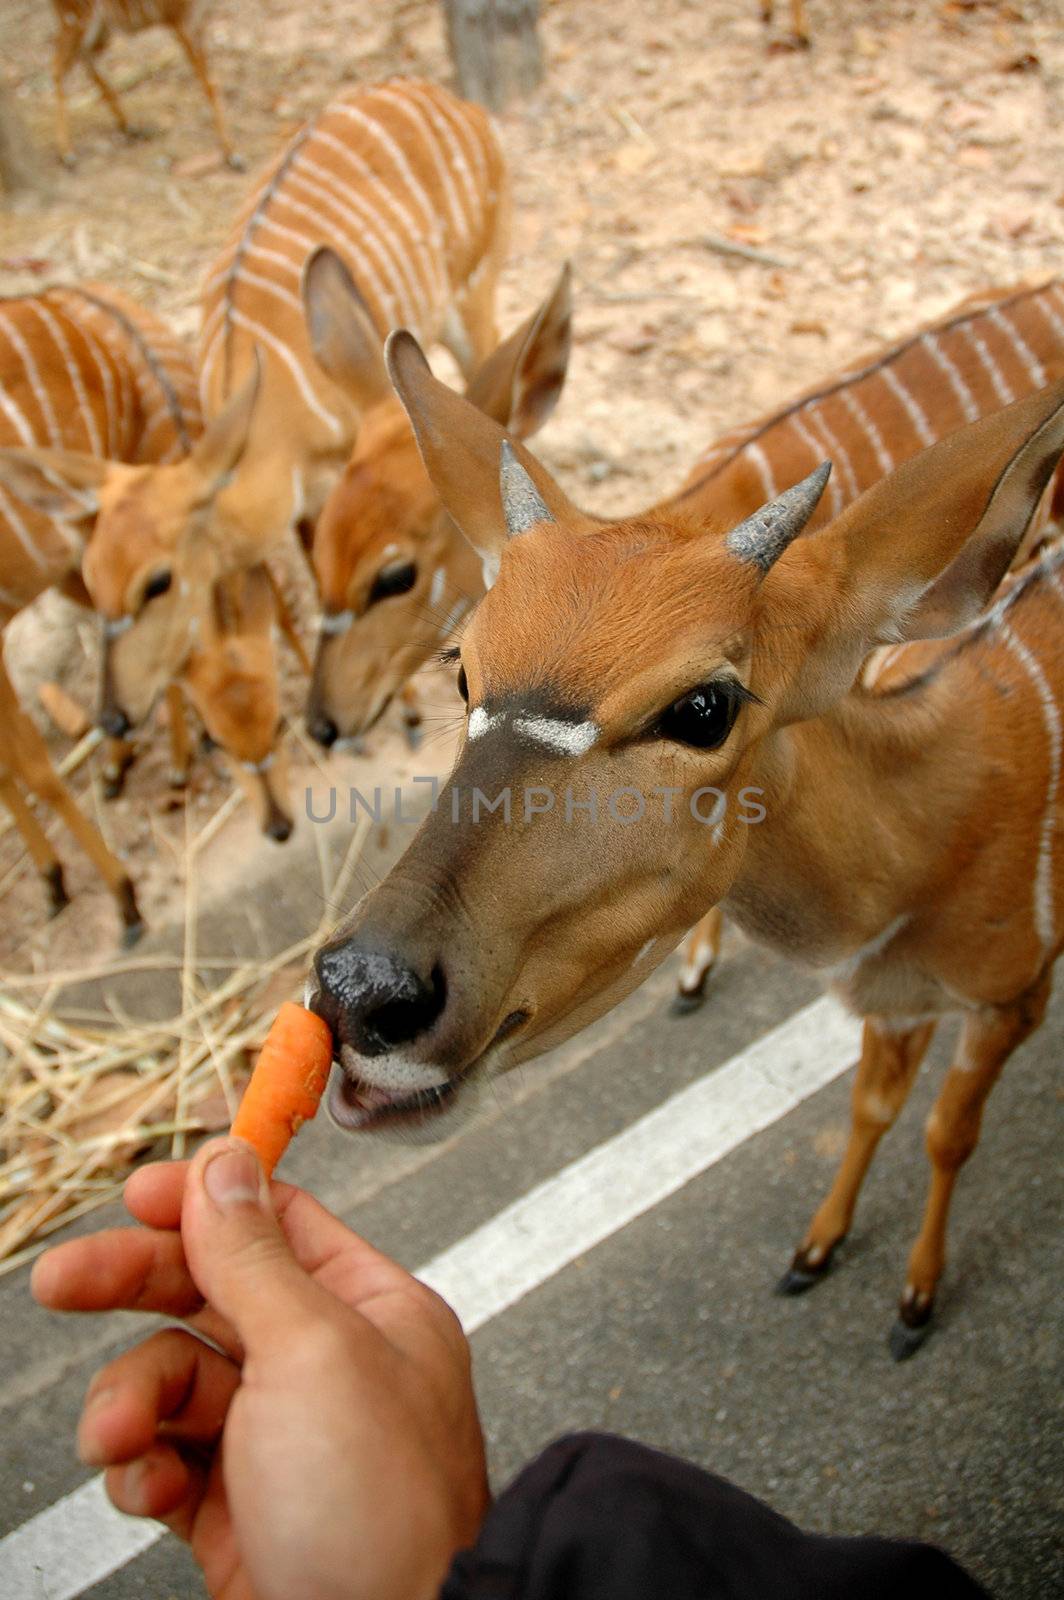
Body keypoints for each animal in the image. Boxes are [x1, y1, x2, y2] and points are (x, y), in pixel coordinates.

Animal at [50, 0, 235, 168]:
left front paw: (231, 152)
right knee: (58, 65)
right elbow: (209, 84)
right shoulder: (182, 18)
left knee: (86, 58)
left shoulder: (198, 19)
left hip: (100, 26)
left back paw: (131, 126)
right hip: (76, 18)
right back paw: (67, 153)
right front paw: (232, 154)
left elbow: (210, 82)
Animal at [307, 340, 1062, 1363]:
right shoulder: (897, 1006)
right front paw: (816, 1250)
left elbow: (948, 1130)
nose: (361, 991)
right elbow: (874, 1107)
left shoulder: (1013, 993)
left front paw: (914, 1302)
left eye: (704, 706)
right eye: (462, 666)